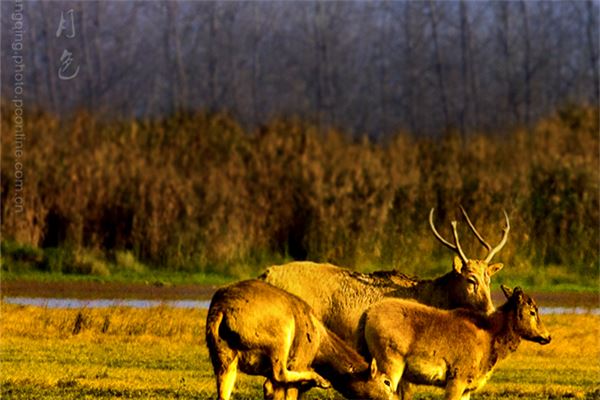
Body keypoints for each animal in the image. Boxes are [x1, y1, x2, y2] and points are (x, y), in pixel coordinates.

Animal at [204, 280, 396, 400]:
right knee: (280, 371)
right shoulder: (299, 359)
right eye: (387, 382)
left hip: (222, 353)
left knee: (223, 391)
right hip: (281, 334)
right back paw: (320, 379)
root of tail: (221, 309)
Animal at [360, 286, 552, 398]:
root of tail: (367, 314)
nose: (548, 336)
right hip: (390, 361)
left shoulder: (468, 386)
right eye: (532, 311)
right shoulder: (457, 377)